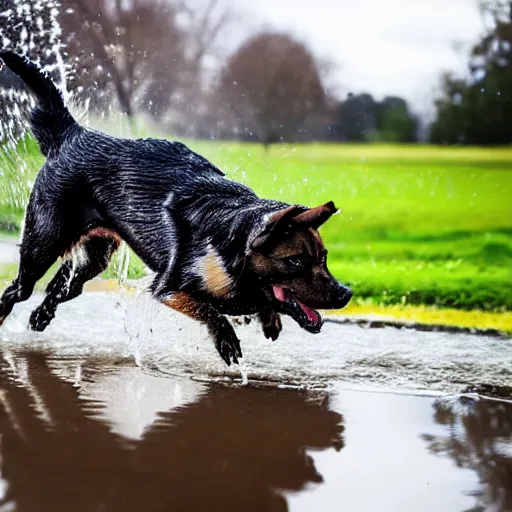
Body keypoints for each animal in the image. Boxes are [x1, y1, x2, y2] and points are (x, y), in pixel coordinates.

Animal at [0, 51, 352, 364]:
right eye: (295, 261)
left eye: (324, 258)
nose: (345, 293)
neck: (233, 245)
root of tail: (73, 134)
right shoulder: (167, 288)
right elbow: (210, 310)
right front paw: (227, 338)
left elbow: (260, 305)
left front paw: (269, 319)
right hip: (42, 244)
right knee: (16, 290)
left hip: (94, 256)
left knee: (61, 284)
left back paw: (40, 318)